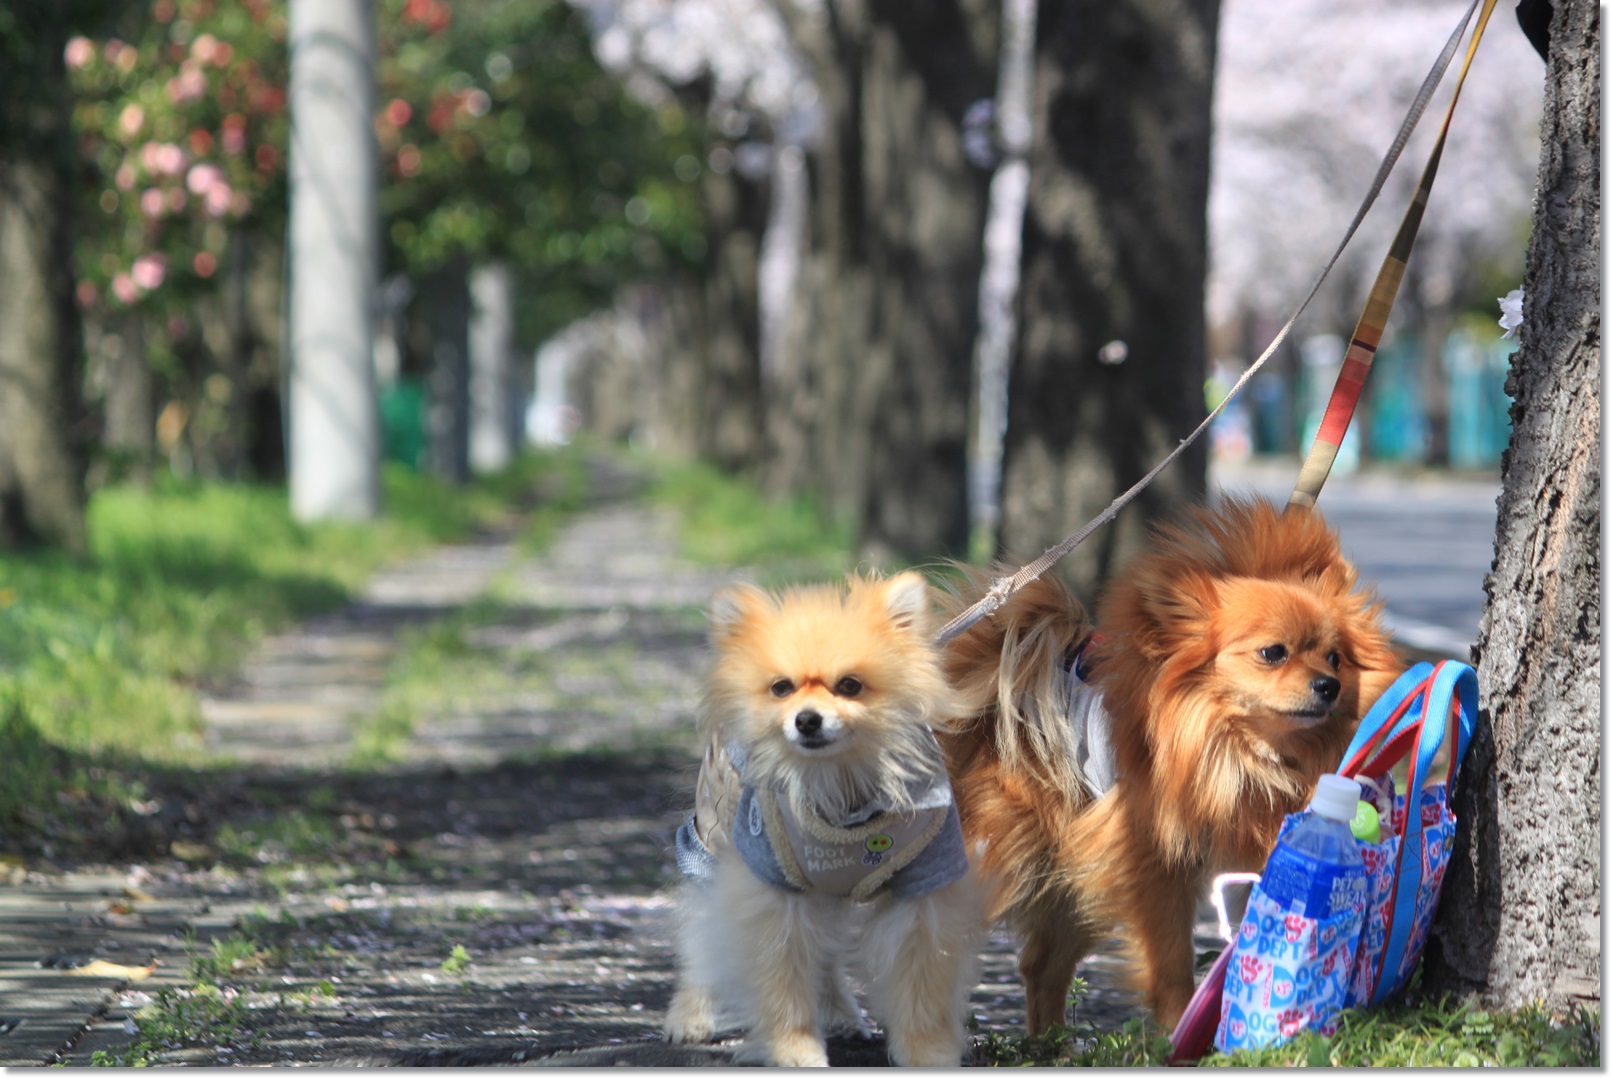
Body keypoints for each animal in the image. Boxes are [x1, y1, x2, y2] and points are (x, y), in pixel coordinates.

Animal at [664, 567, 986, 1064]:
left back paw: (840, 1014)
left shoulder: (924, 888)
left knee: (826, 954)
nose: (807, 720)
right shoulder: (775, 892)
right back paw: (689, 1016)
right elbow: (784, 985)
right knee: (702, 935)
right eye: (781, 687)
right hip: (713, 841)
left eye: (850, 685)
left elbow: (922, 989)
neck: (839, 786)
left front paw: (927, 1053)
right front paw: (795, 1050)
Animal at [941, 499, 1405, 1032]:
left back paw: (1050, 1042)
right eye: (1273, 653)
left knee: (1042, 966)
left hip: (1075, 870)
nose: (1329, 685)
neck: (1236, 750)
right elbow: (1170, 961)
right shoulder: (1152, 864)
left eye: (1335, 658)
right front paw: (1180, 1022)